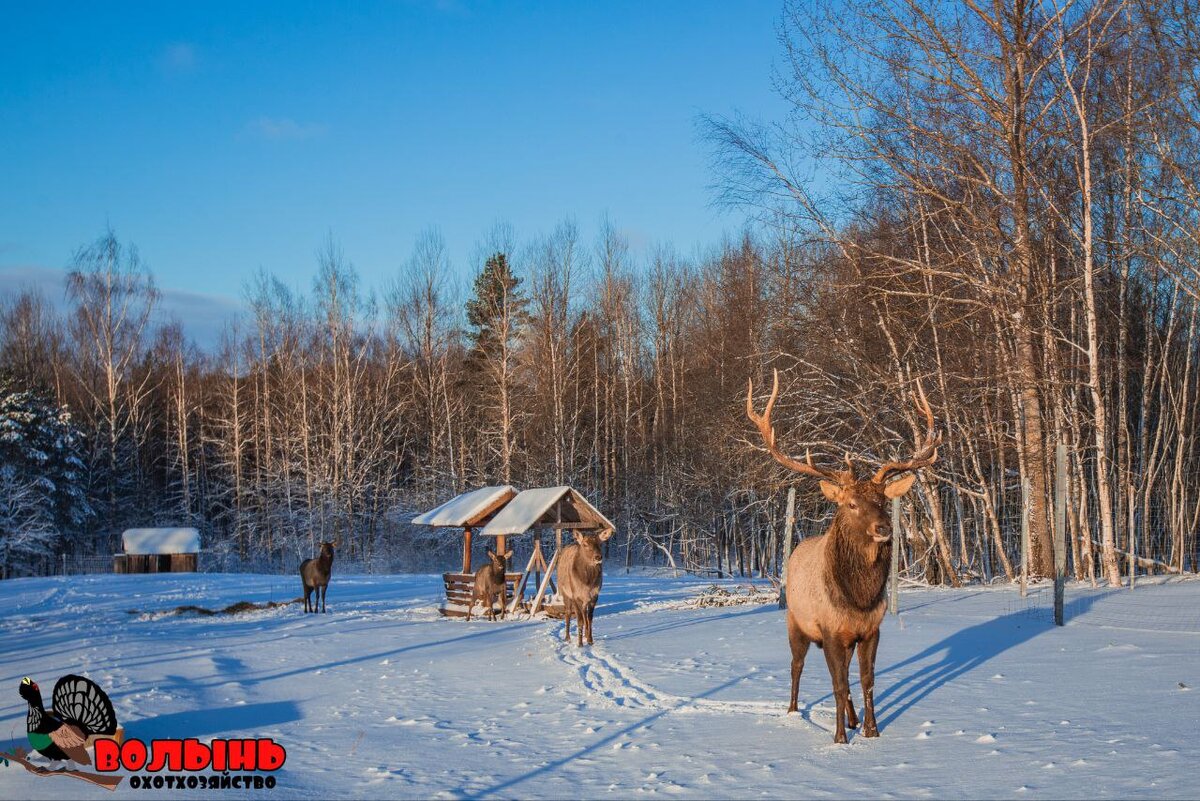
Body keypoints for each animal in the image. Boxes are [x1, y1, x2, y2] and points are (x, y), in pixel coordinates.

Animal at [744, 369, 940, 743]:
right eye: (851, 504)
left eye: (882, 500)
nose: (883, 527)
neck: (858, 598)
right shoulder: (830, 628)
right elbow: (837, 684)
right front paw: (838, 739)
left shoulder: (870, 629)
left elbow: (865, 681)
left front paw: (870, 731)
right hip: (796, 621)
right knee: (797, 666)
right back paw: (793, 711)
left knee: (845, 677)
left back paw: (850, 719)